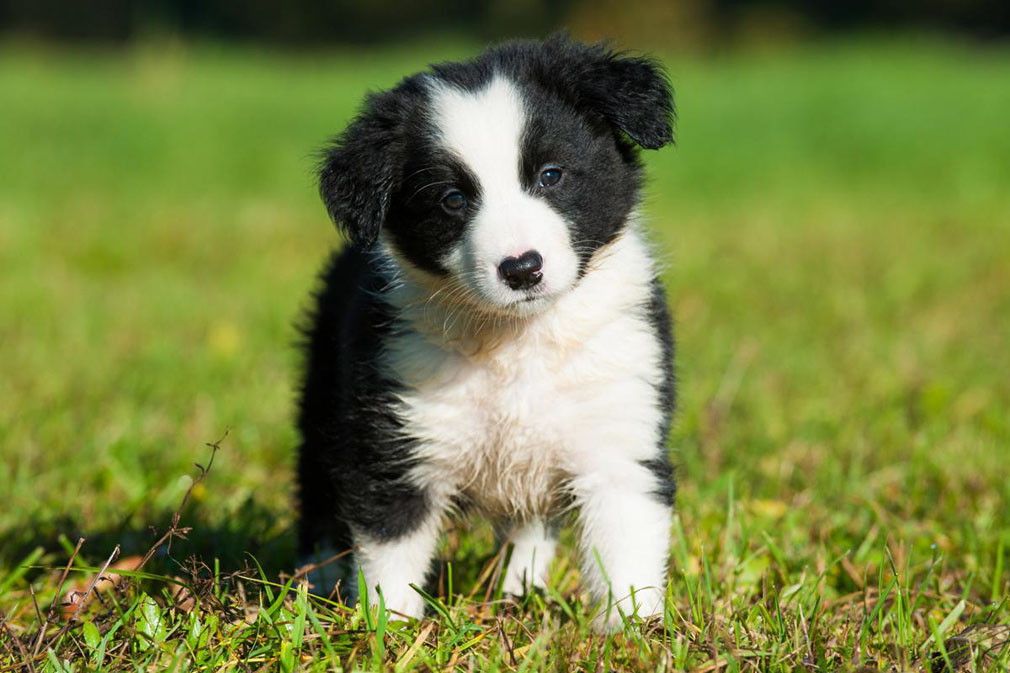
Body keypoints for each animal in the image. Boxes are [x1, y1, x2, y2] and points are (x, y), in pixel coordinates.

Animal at [298, 35, 678, 622]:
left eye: (551, 174)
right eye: (452, 199)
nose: (522, 268)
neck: (517, 341)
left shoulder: (619, 425)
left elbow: (626, 547)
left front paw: (633, 629)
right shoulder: (394, 435)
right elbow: (391, 548)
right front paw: (388, 629)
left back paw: (521, 591)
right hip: (323, 397)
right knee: (316, 493)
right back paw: (313, 583)